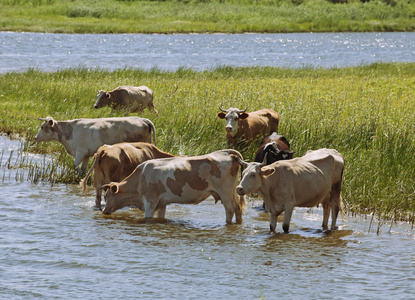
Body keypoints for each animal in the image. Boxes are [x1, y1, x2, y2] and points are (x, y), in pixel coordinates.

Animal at [101, 149, 247, 224]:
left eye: (106, 195)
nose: (103, 211)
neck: (140, 178)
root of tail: (229, 153)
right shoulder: (162, 203)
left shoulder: (150, 202)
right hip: (233, 191)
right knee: (238, 209)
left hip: (225, 192)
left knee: (230, 210)